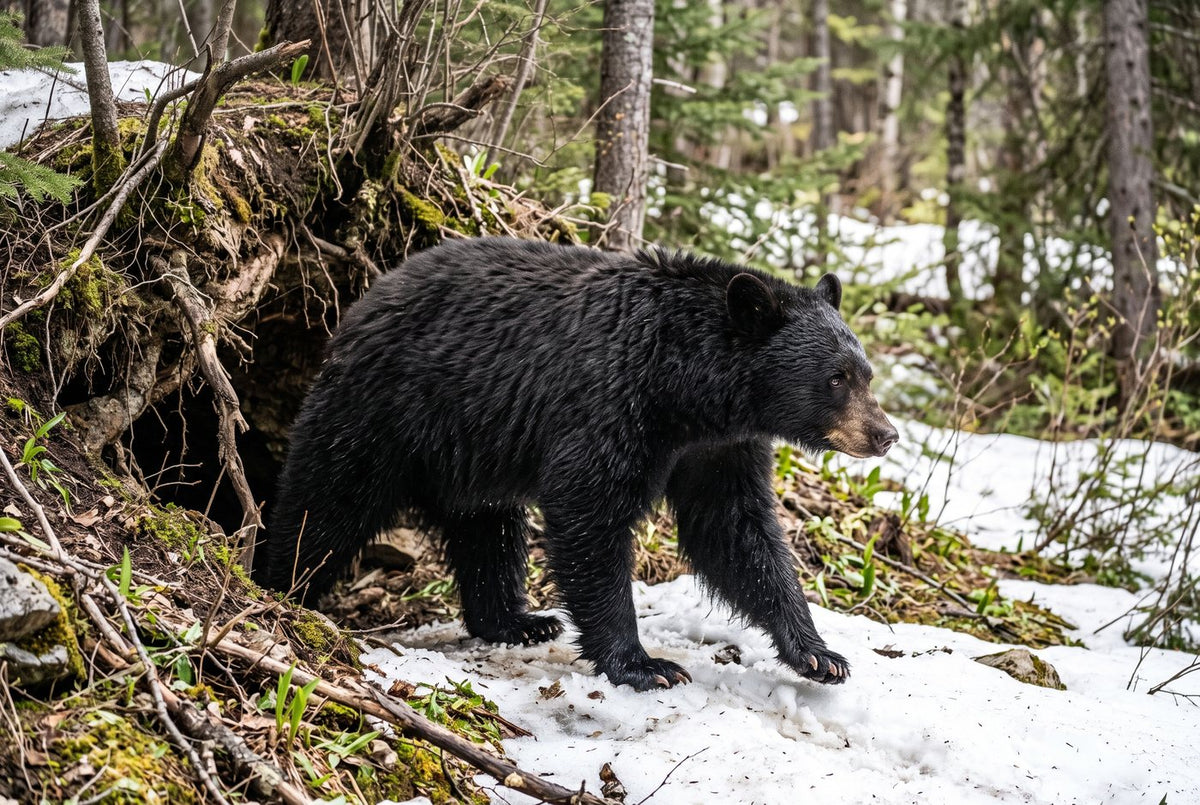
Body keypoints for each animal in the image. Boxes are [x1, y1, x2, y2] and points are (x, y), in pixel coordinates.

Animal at [262, 236, 898, 691]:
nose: (886, 434)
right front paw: (644, 664)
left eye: (866, 374)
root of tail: (364, 300)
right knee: (326, 502)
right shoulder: (609, 400)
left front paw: (817, 653)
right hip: (384, 412)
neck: (687, 389)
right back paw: (279, 590)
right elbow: (589, 512)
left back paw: (517, 621)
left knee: (488, 530)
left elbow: (736, 529)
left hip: (471, 451)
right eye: (836, 379)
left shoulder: (720, 447)